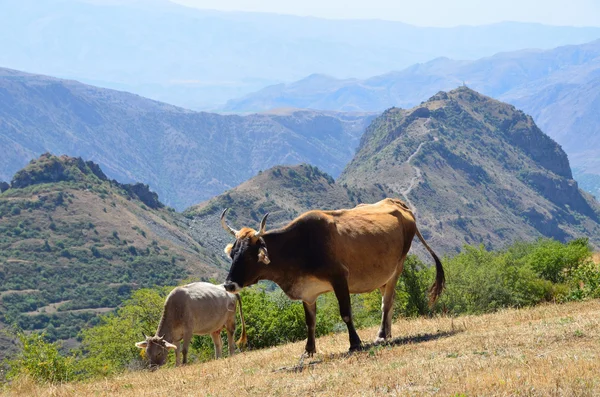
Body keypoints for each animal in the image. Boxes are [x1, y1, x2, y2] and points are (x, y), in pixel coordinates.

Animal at [221, 198, 446, 352]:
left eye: (249, 256)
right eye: (233, 254)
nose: (229, 285)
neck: (299, 246)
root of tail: (396, 202)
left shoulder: (339, 278)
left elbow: (345, 312)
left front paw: (355, 343)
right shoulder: (307, 291)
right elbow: (310, 320)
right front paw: (309, 350)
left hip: (397, 267)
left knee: (387, 302)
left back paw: (382, 335)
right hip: (384, 274)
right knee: (389, 300)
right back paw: (388, 333)